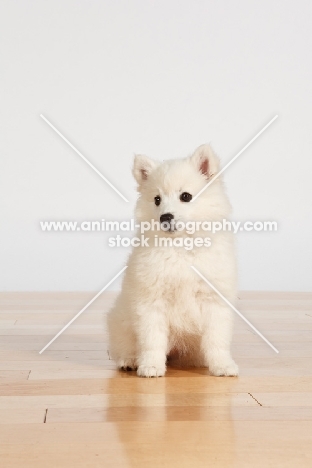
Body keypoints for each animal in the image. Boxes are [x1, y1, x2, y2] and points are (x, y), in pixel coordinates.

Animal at [107, 144, 239, 378]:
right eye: (157, 199)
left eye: (185, 196)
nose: (165, 217)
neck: (181, 246)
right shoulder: (151, 302)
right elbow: (152, 340)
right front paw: (151, 366)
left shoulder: (214, 300)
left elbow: (217, 340)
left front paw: (223, 365)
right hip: (121, 321)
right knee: (124, 346)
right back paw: (129, 361)